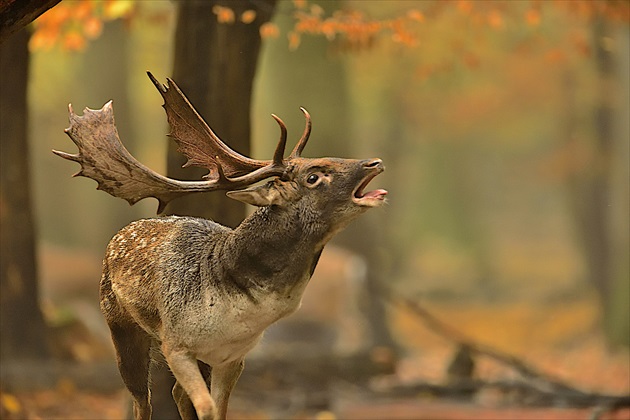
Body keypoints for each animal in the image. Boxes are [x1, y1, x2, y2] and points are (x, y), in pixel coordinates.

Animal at [54, 73, 388, 420]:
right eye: (313, 176)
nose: (373, 162)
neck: (236, 312)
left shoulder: (232, 357)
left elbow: (218, 409)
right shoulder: (176, 344)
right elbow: (206, 407)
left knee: (174, 392)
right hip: (118, 322)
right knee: (141, 399)